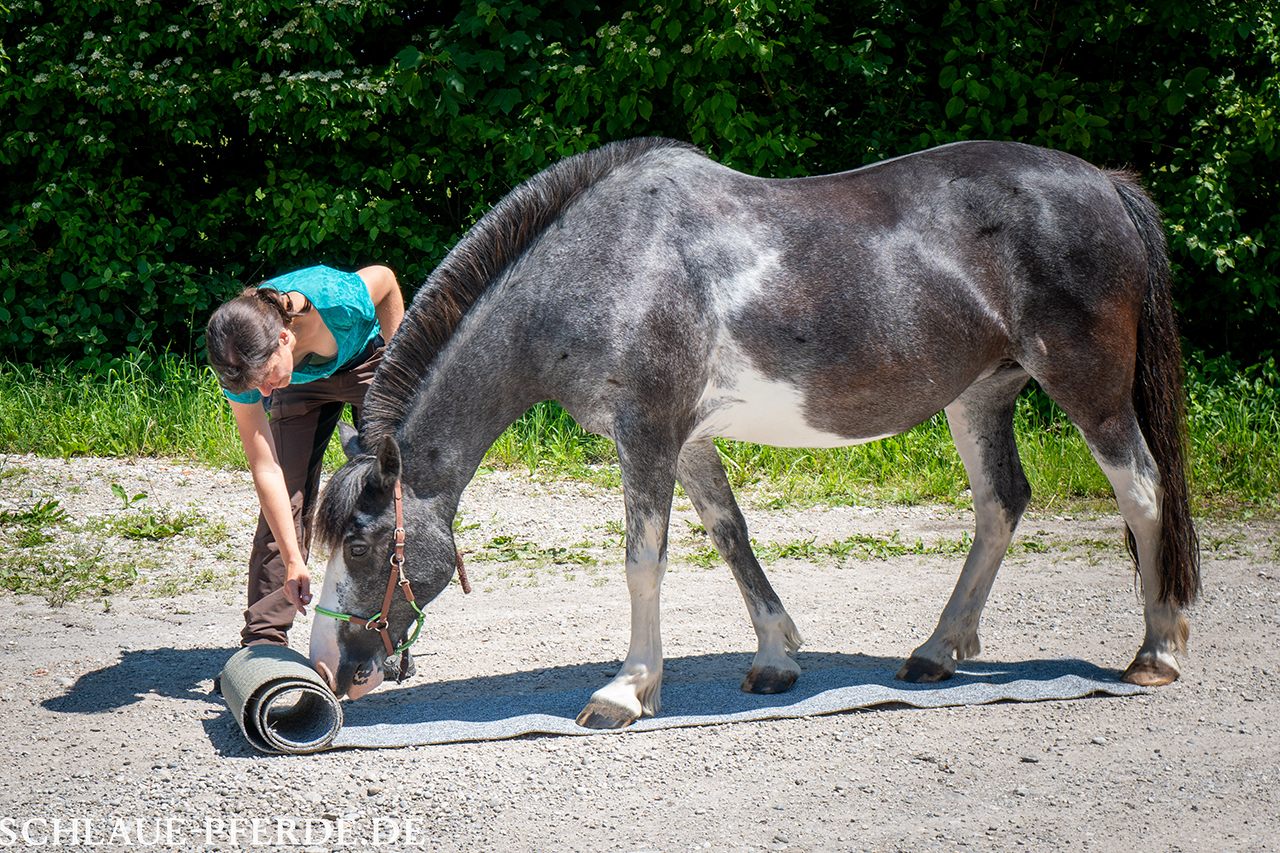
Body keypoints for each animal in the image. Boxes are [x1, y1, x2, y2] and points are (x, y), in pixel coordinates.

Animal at [308, 137, 1199, 729]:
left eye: (360, 542)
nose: (328, 667)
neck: (601, 265)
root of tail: (1105, 183)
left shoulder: (648, 434)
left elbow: (644, 560)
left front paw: (626, 689)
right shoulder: (689, 440)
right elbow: (730, 534)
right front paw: (775, 658)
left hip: (1087, 387)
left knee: (1143, 491)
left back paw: (1156, 653)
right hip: (980, 395)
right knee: (1000, 505)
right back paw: (938, 650)